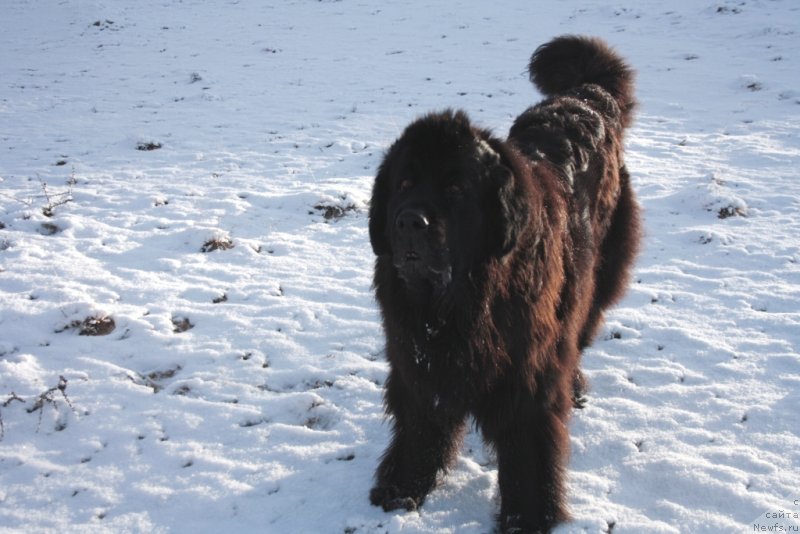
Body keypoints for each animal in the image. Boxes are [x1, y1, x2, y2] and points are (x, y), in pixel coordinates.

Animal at [368, 35, 636, 532]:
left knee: (582, 330)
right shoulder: (417, 359)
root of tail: (586, 96)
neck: (457, 303)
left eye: (456, 190)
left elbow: (528, 448)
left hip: (598, 276)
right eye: (405, 183)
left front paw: (528, 515)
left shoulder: (527, 372)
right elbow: (419, 424)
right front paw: (402, 486)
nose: (410, 222)